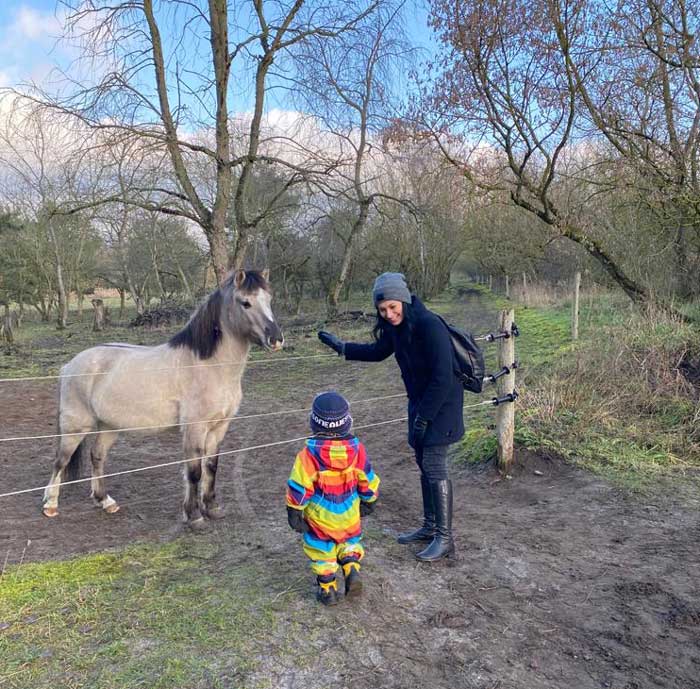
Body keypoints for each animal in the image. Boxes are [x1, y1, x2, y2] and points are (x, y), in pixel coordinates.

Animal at [42, 268, 284, 528]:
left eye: (269, 299)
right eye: (245, 302)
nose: (276, 339)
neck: (208, 366)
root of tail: (69, 366)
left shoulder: (219, 427)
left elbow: (211, 466)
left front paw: (212, 508)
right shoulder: (195, 428)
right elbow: (194, 472)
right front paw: (194, 516)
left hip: (109, 426)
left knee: (97, 456)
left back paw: (105, 501)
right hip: (76, 426)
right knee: (60, 461)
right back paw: (50, 505)